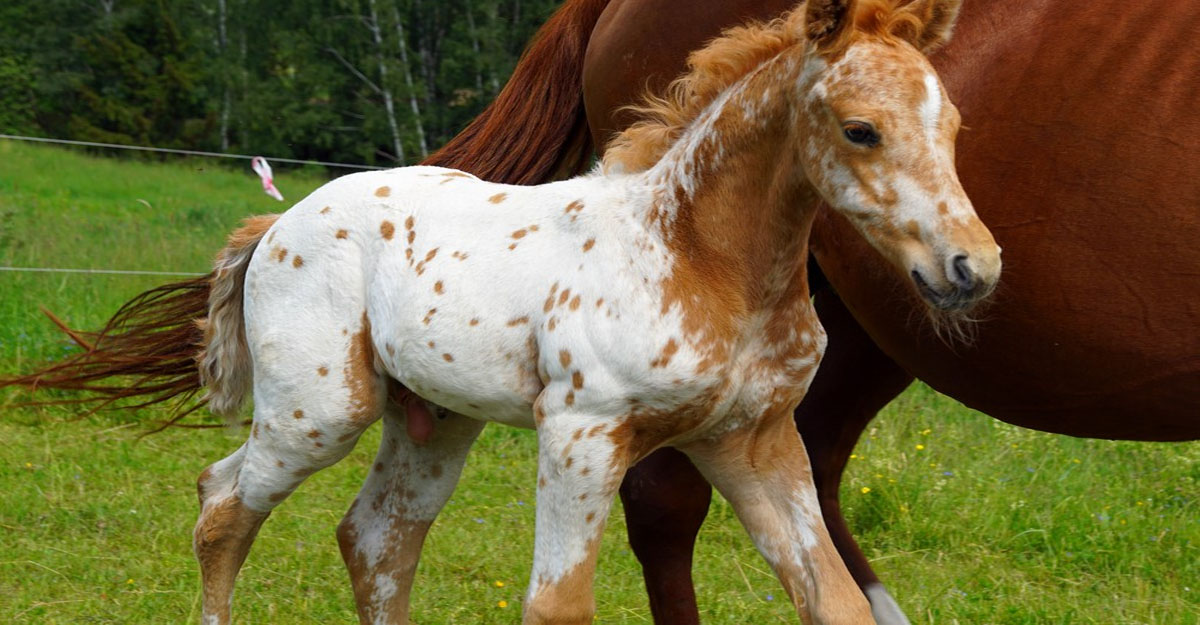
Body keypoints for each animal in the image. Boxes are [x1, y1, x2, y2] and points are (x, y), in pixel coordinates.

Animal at [192, 2, 998, 619]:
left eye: (957, 128)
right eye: (861, 129)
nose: (973, 267)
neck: (698, 257)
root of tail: (277, 221)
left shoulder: (753, 441)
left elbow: (834, 599)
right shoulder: (582, 431)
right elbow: (557, 605)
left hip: (435, 420)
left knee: (375, 540)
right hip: (320, 411)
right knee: (222, 505)